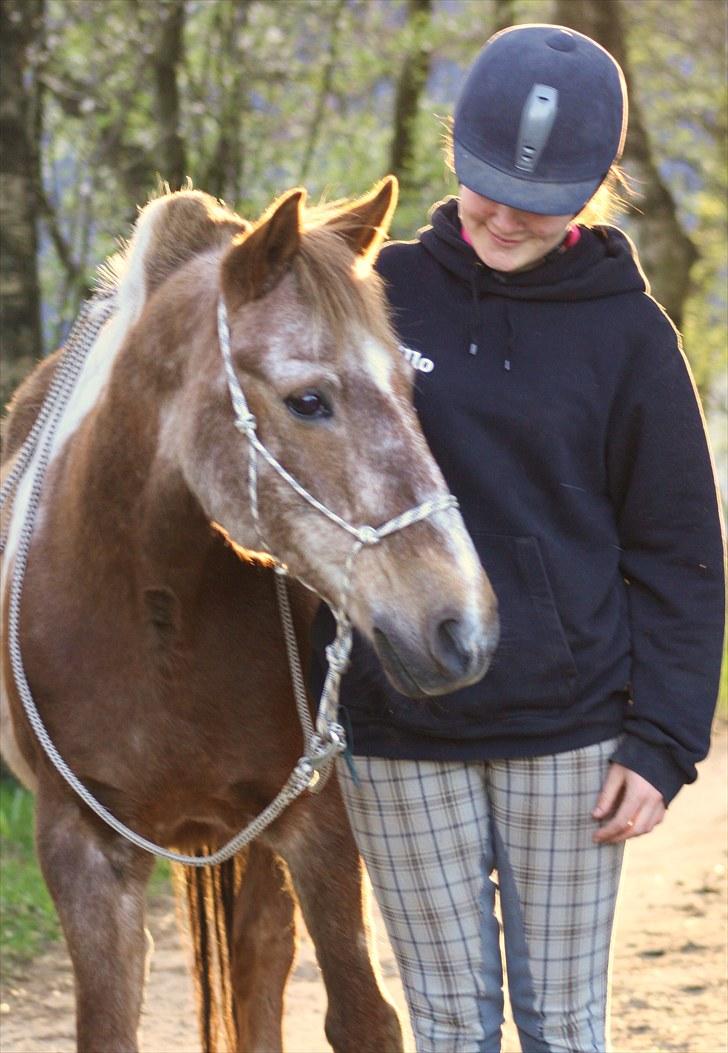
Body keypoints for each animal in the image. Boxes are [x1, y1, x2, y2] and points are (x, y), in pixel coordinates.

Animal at [0, 176, 499, 1048]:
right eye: (309, 400)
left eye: (410, 392)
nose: (460, 625)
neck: (152, 612)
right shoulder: (82, 849)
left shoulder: (317, 825)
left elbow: (360, 1016)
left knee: (260, 963)